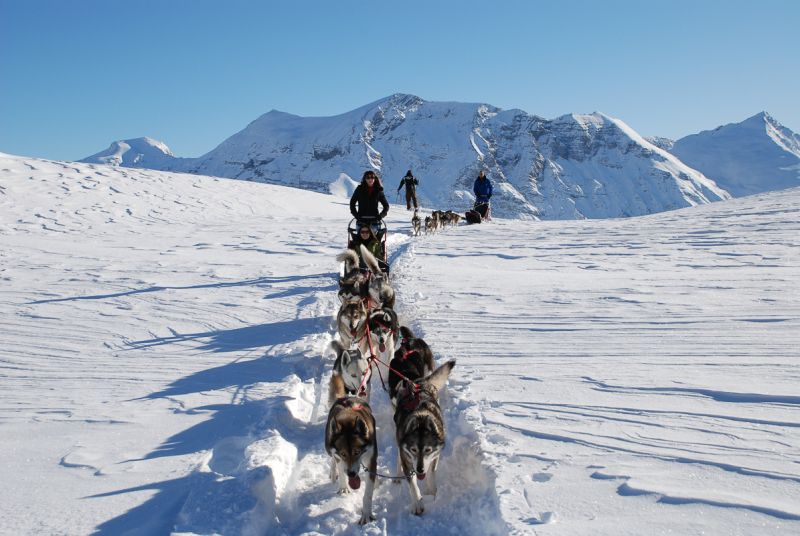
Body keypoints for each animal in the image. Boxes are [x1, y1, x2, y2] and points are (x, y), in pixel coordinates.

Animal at [324, 372, 378, 524]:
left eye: (357, 452)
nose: (352, 474)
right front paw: (343, 487)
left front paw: (366, 514)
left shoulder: (371, 459)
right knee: (332, 458)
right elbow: (341, 468)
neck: (348, 419)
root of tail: (345, 398)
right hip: (328, 444)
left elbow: (368, 493)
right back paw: (333, 473)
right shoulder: (339, 456)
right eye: (343, 453)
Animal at [396, 360, 456, 516]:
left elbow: (431, 473)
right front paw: (418, 503)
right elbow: (412, 484)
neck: (421, 417)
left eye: (428, 450)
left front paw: (432, 492)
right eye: (413, 450)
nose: (420, 469)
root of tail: (420, 381)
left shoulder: (435, 456)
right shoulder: (407, 458)